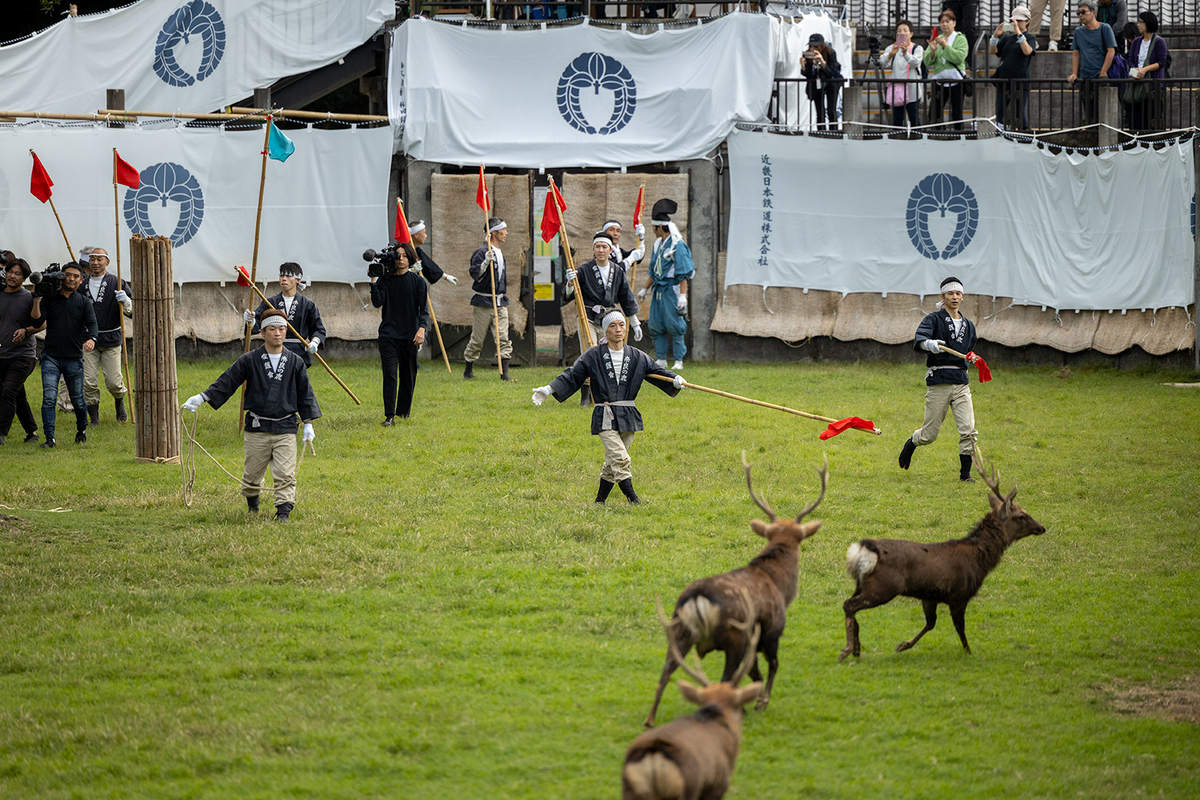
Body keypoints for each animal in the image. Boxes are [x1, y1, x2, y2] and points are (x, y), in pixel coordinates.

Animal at [648, 453, 825, 729]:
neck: (780, 586)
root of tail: (696, 598)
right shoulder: (772, 630)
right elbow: (772, 667)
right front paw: (762, 702)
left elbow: (755, 673)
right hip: (734, 636)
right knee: (725, 677)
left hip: (679, 630)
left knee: (666, 671)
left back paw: (650, 720)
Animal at [840, 453, 1046, 662]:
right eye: (1021, 516)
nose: (1042, 528)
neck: (979, 562)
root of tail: (863, 550)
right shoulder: (959, 594)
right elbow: (960, 629)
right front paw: (968, 653)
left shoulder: (929, 595)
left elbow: (930, 623)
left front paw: (902, 645)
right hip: (884, 587)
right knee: (849, 605)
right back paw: (847, 650)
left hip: (862, 584)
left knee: (851, 607)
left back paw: (857, 649)